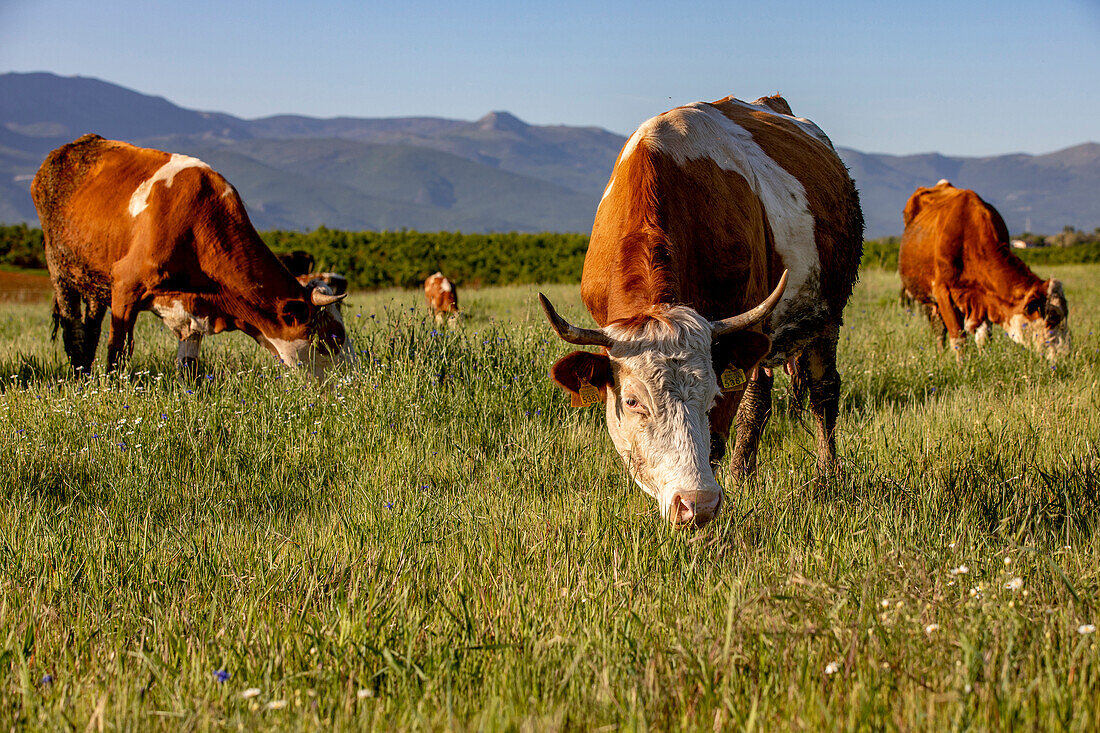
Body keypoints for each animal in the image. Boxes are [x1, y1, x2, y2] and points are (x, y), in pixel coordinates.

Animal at [34, 132, 345, 376]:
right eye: (332, 338)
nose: (350, 381)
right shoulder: (125, 285)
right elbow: (117, 353)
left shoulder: (192, 311)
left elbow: (189, 367)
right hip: (59, 267)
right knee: (73, 328)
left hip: (93, 281)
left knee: (90, 327)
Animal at [536, 94, 862, 526]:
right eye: (632, 401)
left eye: (711, 392)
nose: (695, 503)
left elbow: (723, 433)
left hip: (825, 316)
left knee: (817, 394)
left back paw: (822, 476)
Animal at [897, 177, 1069, 358]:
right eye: (1052, 319)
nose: (1066, 355)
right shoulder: (943, 292)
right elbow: (958, 338)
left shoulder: (986, 298)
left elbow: (984, 338)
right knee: (939, 328)